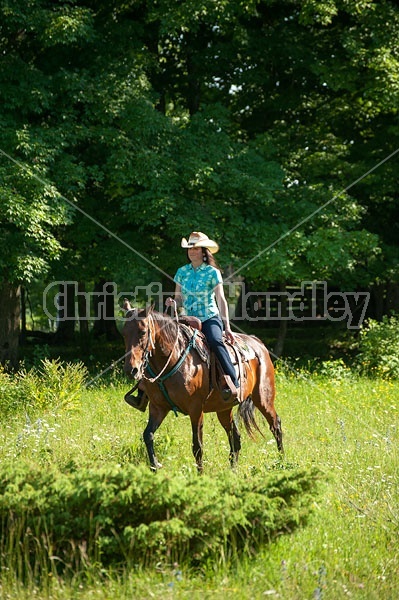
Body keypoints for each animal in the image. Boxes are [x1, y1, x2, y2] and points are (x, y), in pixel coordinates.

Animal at [123, 302, 282, 472]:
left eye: (143, 332)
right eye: (124, 333)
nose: (131, 370)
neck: (172, 359)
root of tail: (257, 342)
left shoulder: (196, 409)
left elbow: (197, 446)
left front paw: (200, 475)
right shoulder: (158, 408)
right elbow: (148, 435)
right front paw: (155, 467)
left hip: (263, 399)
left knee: (276, 425)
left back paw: (281, 461)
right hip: (223, 408)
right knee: (235, 437)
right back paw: (233, 470)